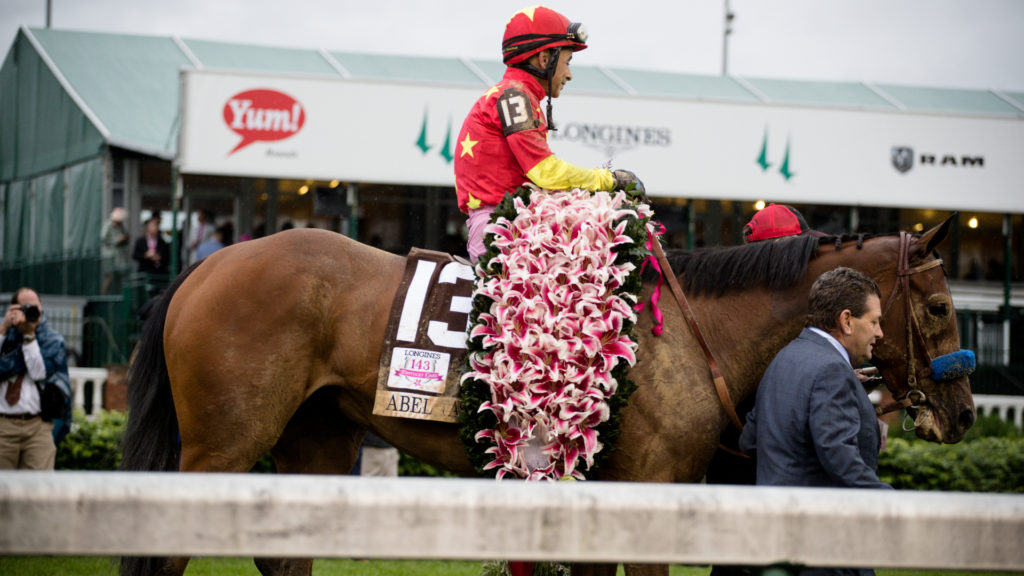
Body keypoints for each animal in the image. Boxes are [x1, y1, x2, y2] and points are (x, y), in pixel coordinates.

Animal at [119, 214, 974, 573]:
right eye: (938, 306)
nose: (963, 411)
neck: (691, 332)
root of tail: (206, 264)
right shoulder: (643, 493)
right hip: (225, 444)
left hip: (317, 434)